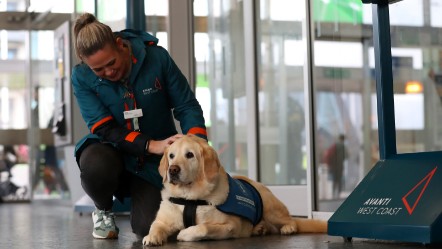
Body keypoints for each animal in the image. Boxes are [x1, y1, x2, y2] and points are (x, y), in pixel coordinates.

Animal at [143, 134, 326, 245]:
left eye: (190, 155)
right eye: (171, 156)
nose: (172, 170)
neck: (189, 199)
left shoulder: (230, 225)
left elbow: (204, 227)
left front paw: (183, 234)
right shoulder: (163, 220)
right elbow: (155, 226)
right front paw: (151, 237)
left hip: (270, 208)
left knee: (291, 220)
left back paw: (287, 228)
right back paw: (259, 228)